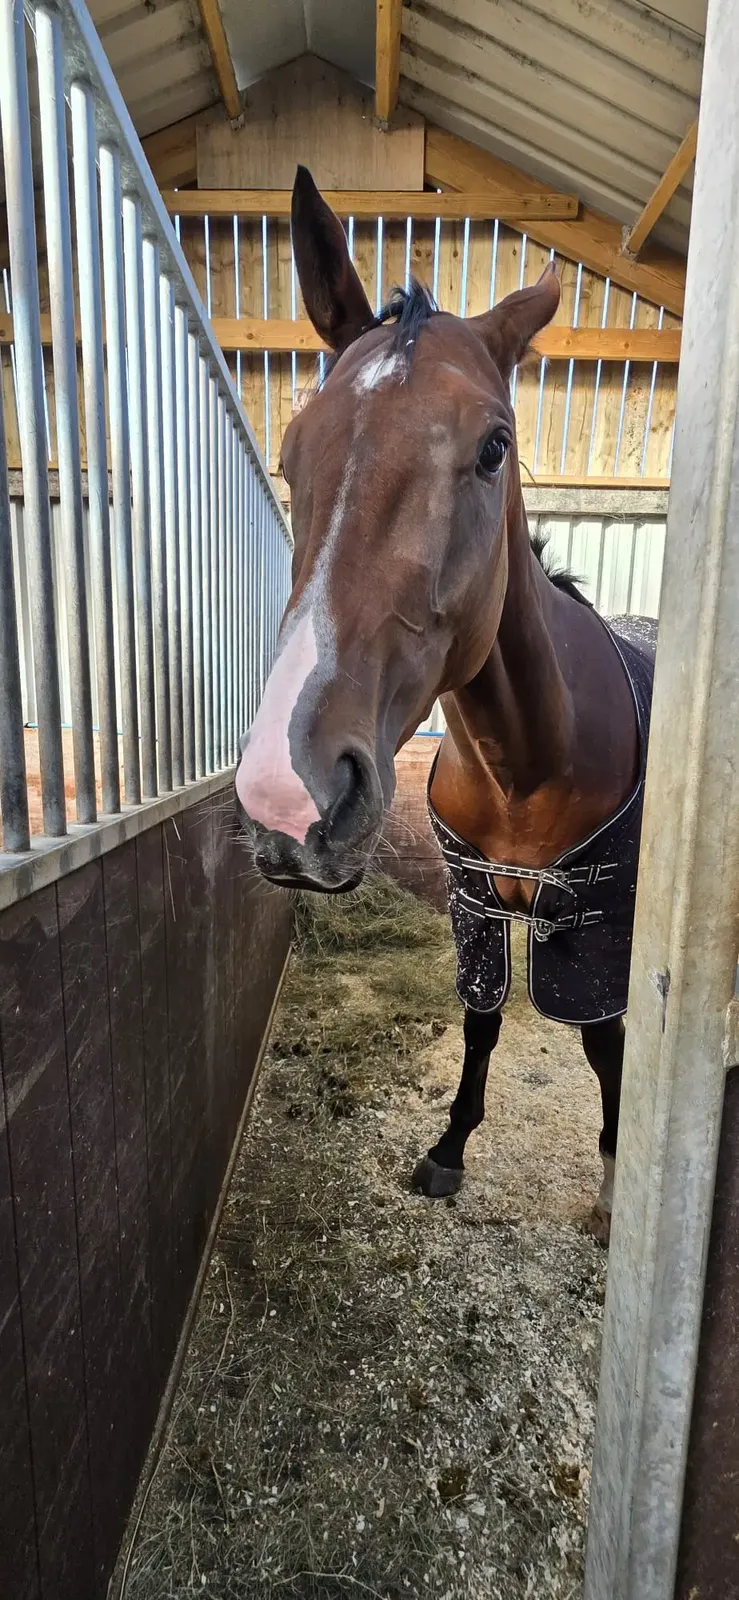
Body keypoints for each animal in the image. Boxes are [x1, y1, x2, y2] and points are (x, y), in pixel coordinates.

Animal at [235, 165, 656, 1241]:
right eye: (295, 449)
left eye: (494, 447)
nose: (287, 795)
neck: (528, 759)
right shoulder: (474, 901)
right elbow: (479, 1020)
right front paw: (447, 1148)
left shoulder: (594, 920)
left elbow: (601, 1042)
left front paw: (611, 1177)